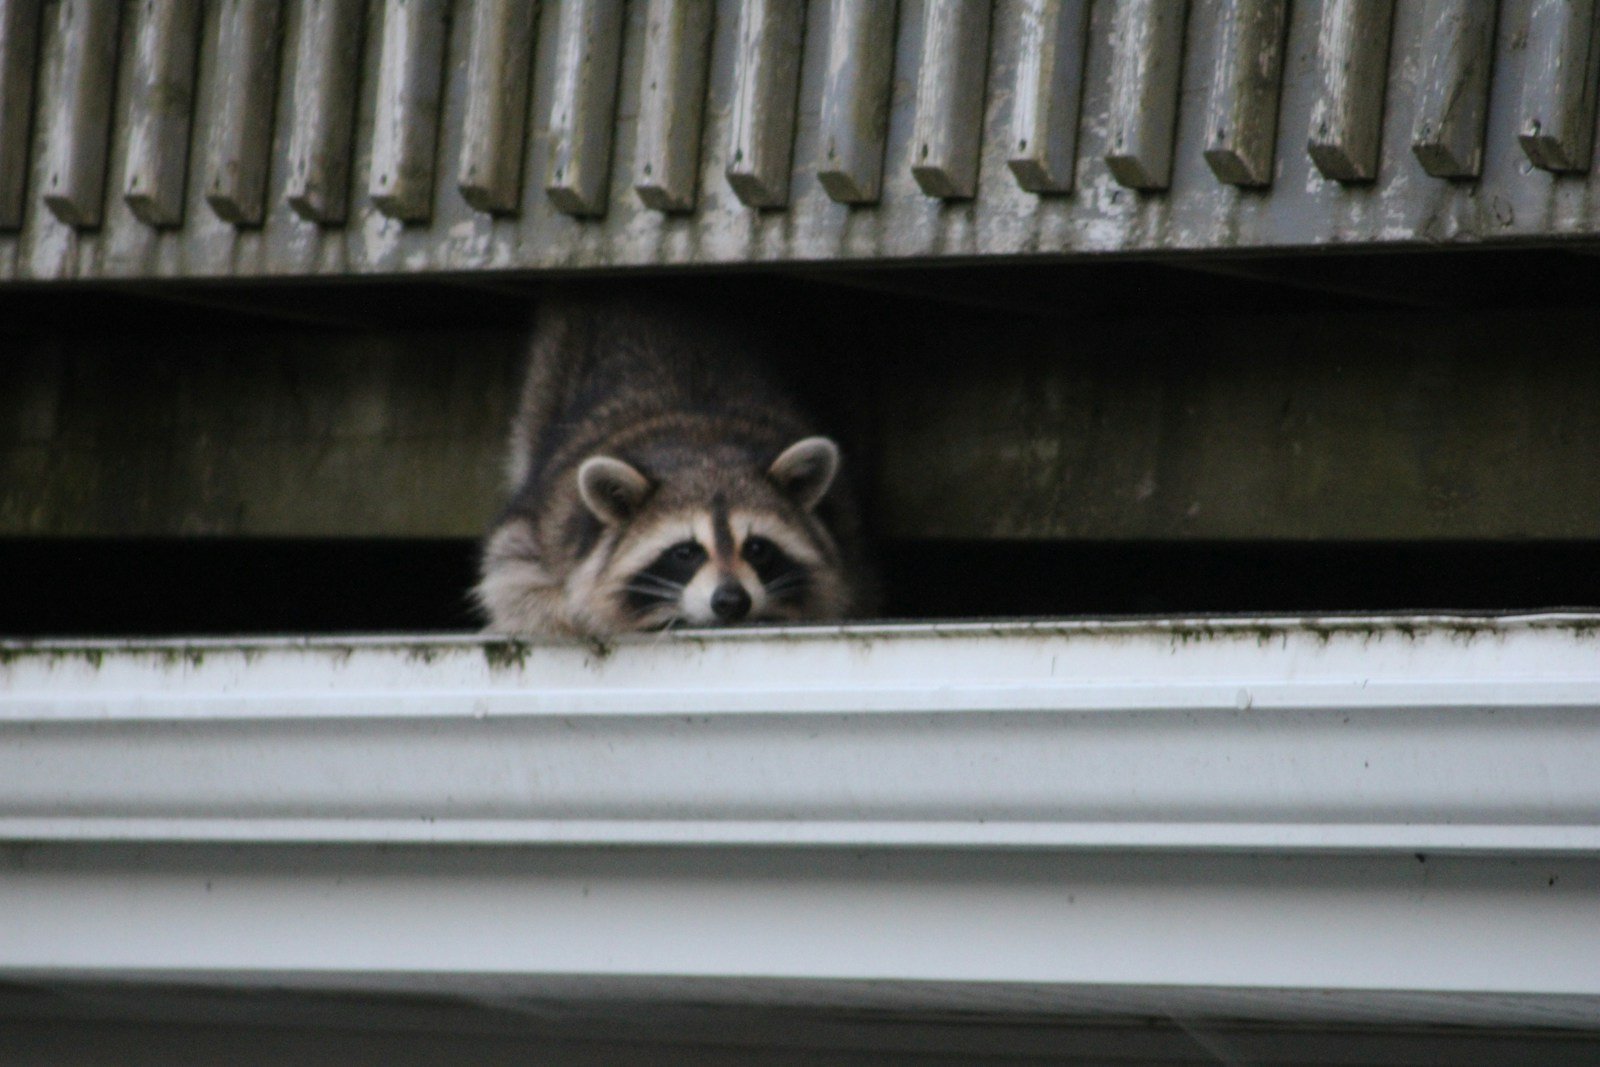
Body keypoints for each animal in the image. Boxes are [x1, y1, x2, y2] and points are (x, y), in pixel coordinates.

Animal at [476, 289, 871, 637]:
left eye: (757, 548)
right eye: (685, 552)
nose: (731, 601)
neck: (703, 445)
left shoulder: (846, 530)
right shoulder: (550, 523)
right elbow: (513, 576)